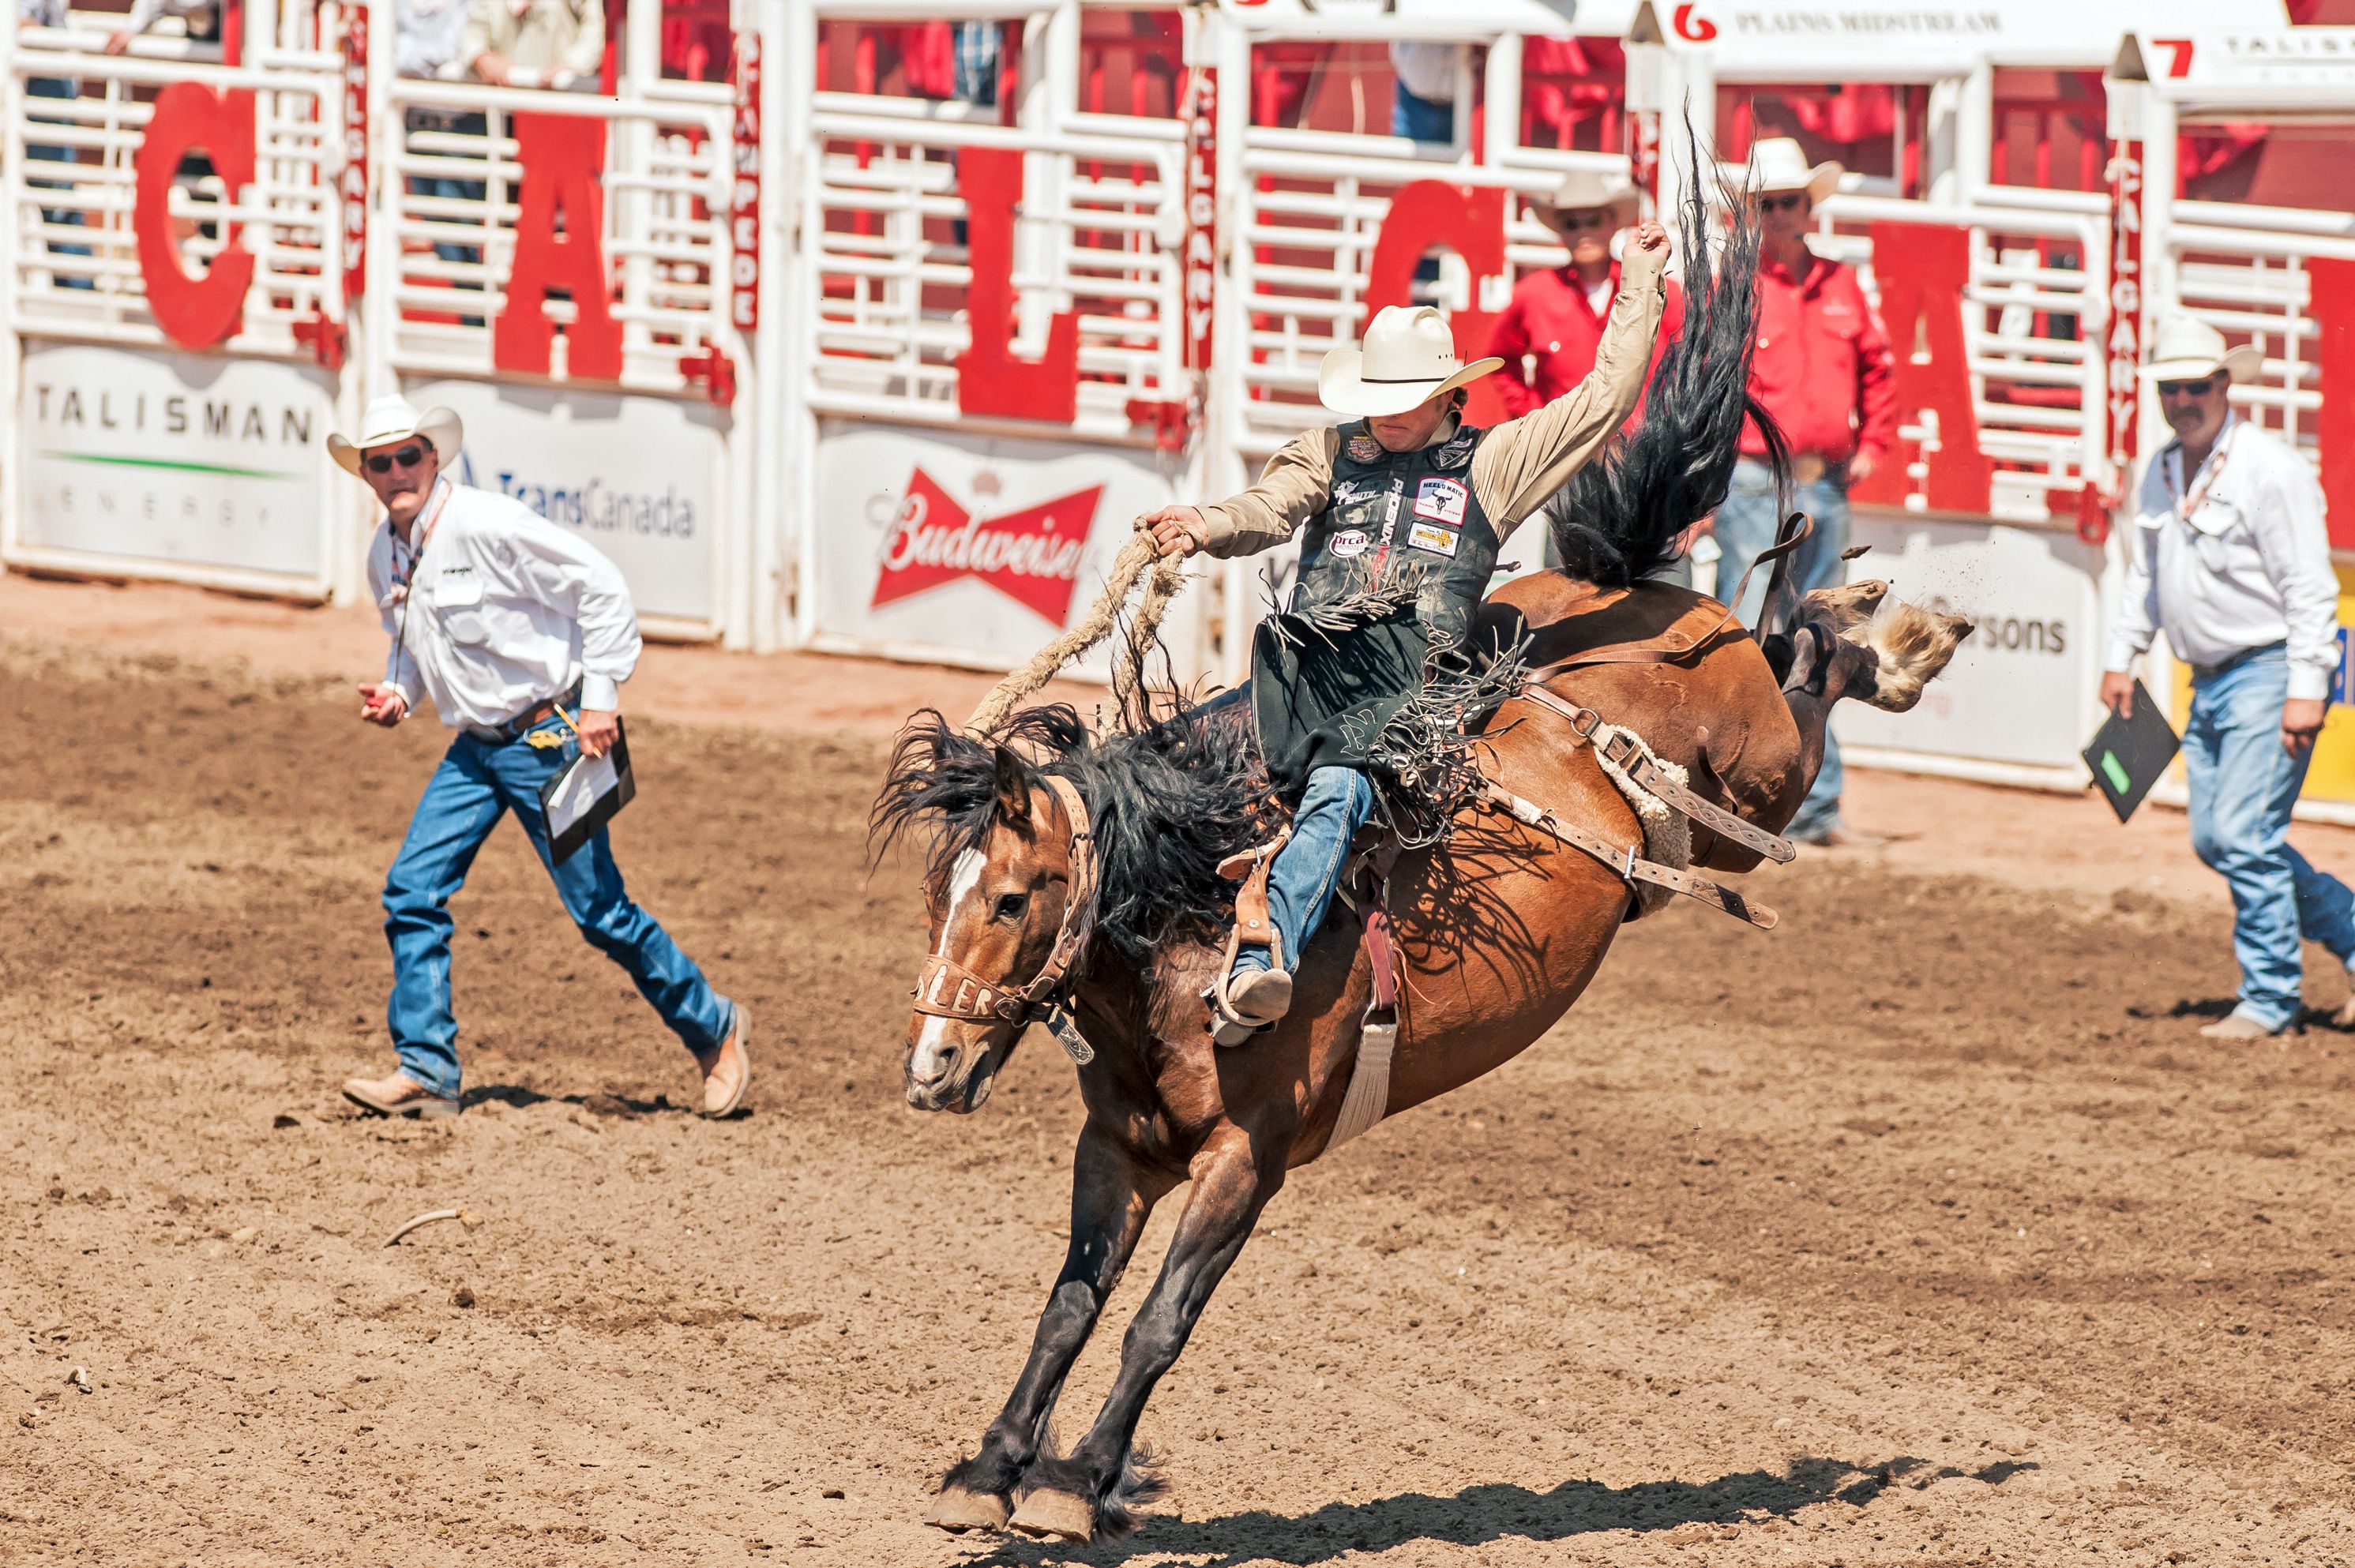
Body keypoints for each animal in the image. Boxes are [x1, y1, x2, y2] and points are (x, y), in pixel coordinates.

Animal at [866, 171, 1968, 1535]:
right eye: (942, 894)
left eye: (1016, 899)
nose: (930, 1063)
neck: (1186, 936)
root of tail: (1637, 602)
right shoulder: (1114, 1147)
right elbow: (1070, 1303)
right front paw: (993, 1466)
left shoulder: (1246, 1158)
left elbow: (1156, 1325)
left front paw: (1078, 1484)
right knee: (1786, 645)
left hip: (1754, 779)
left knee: (1805, 665)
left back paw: (1894, 633)